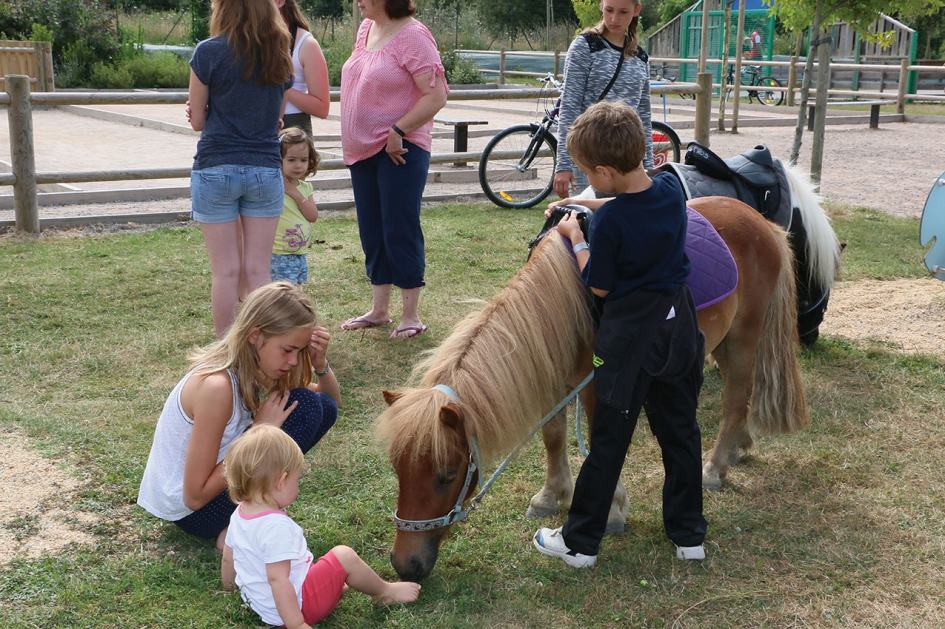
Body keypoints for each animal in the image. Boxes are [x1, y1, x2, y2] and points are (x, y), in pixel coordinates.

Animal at [376, 190, 832, 580]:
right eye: (397, 468)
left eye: (447, 474)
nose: (405, 565)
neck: (570, 296)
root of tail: (762, 223)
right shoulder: (556, 378)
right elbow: (554, 436)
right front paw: (551, 494)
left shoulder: (599, 386)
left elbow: (599, 444)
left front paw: (610, 511)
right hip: (716, 342)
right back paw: (740, 446)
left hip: (742, 339)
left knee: (736, 399)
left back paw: (715, 468)